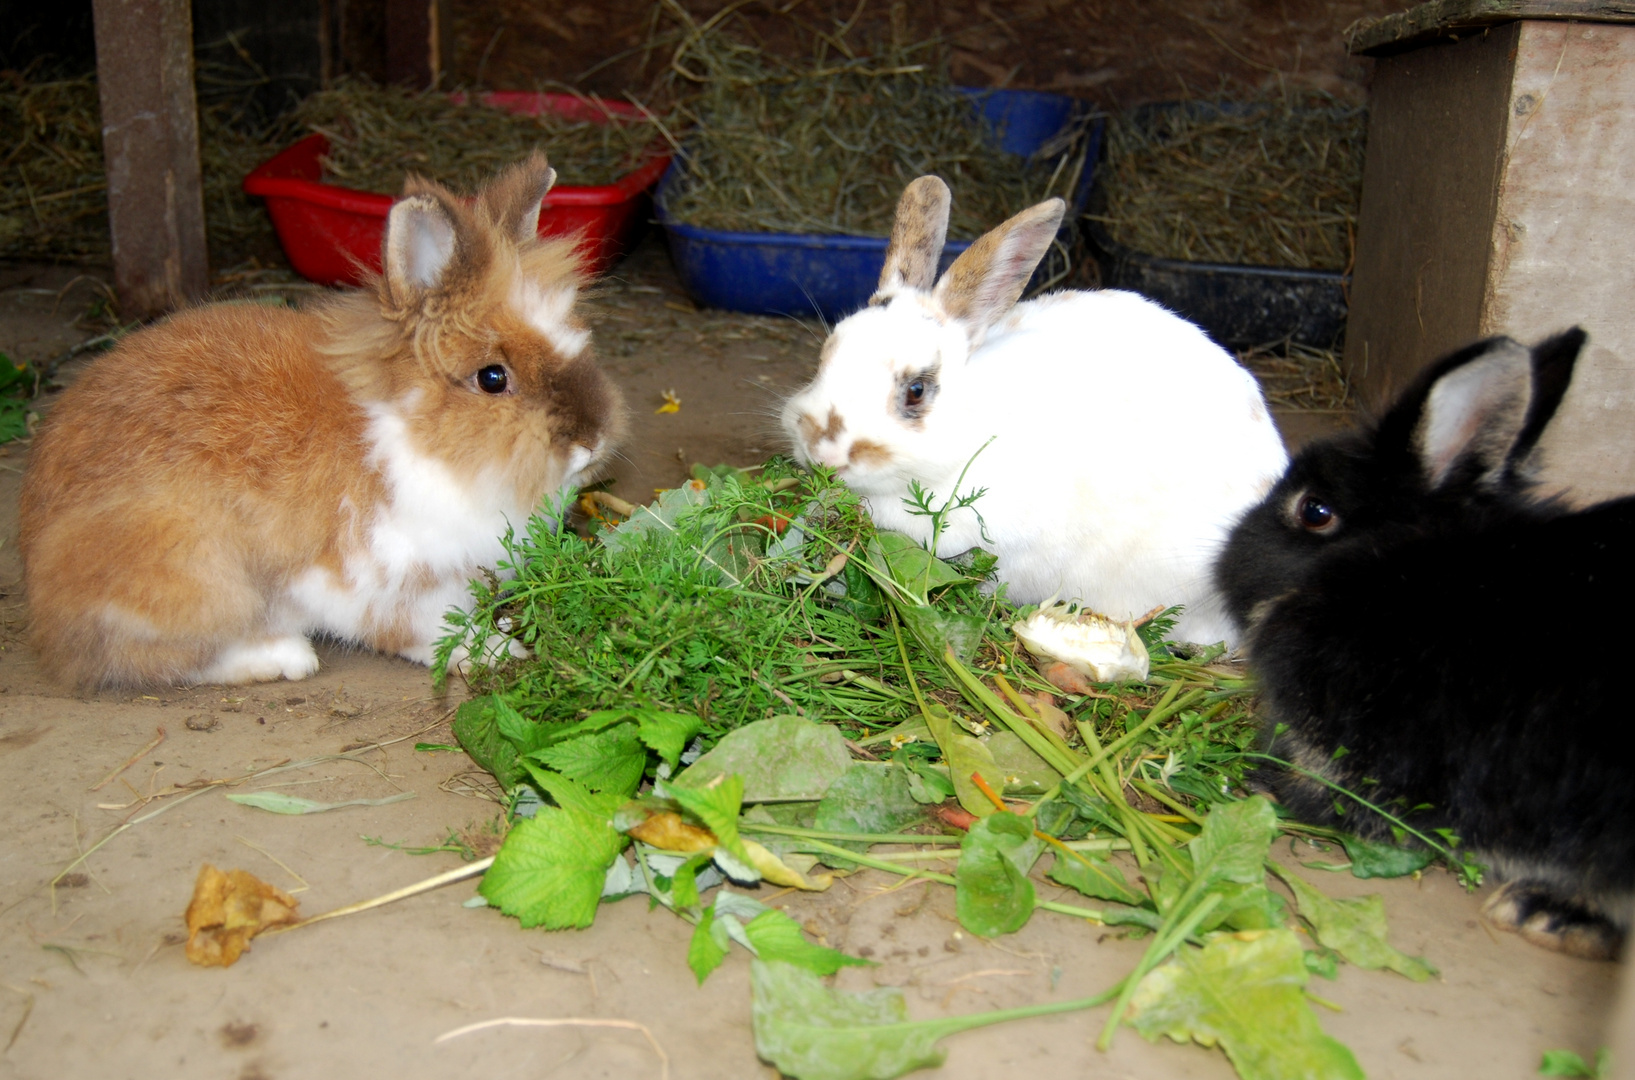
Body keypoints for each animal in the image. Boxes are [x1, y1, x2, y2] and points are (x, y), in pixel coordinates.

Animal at [19, 151, 624, 686]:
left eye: (580, 341)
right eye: (493, 378)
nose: (591, 440)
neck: (417, 438)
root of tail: (37, 582)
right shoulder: (389, 579)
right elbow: (427, 632)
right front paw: (498, 653)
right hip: (198, 578)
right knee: (143, 659)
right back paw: (283, 657)